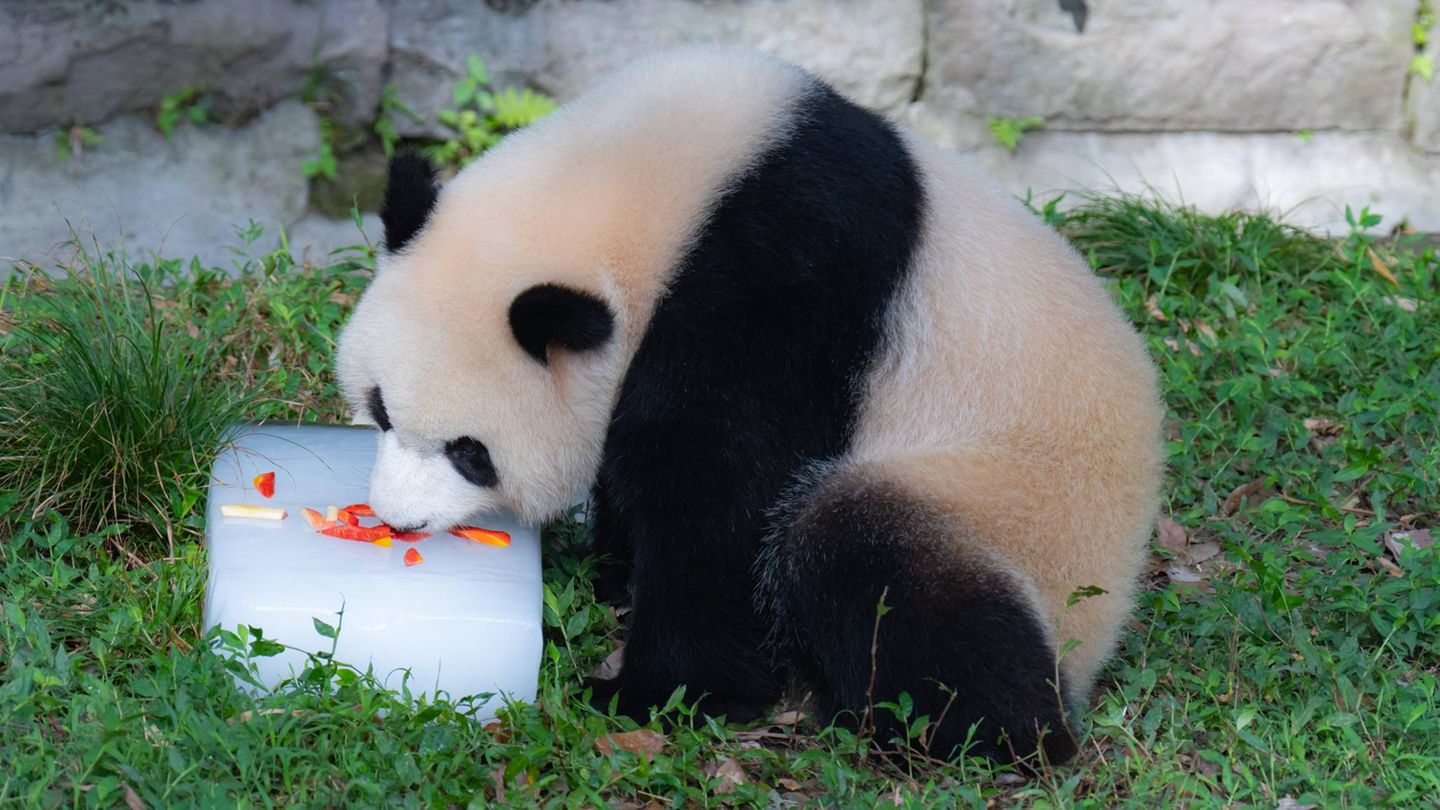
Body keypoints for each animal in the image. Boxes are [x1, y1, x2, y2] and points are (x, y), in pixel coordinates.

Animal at [335, 46, 1163, 764]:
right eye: (380, 409)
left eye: (469, 452)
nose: (396, 520)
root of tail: (1106, 619)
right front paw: (611, 574)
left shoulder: (780, 280)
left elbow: (720, 483)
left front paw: (653, 692)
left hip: (1014, 510)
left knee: (873, 559)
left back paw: (979, 731)